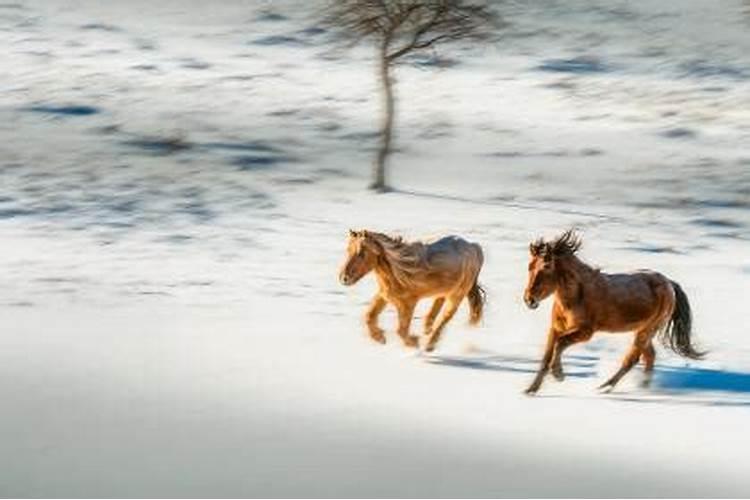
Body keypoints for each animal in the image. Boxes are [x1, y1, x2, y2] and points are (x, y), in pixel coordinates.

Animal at [340, 230, 488, 352]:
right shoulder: (384, 296)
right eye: (348, 250)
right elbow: (369, 316)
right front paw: (380, 338)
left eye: (361, 253)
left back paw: (430, 344)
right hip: (446, 289)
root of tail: (475, 248)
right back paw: (427, 328)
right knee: (438, 301)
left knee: (446, 317)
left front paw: (414, 342)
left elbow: (401, 330)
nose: (343, 278)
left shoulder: (408, 303)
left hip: (457, 294)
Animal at [524, 230, 704, 394]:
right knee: (649, 357)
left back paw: (605, 387)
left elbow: (560, 344)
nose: (529, 299)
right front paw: (530, 389)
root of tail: (669, 283)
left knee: (632, 359)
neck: (576, 296)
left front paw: (559, 374)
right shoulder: (555, 328)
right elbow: (547, 356)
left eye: (546, 266)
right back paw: (642, 387)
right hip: (643, 330)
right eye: (530, 267)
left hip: (647, 330)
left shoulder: (585, 332)